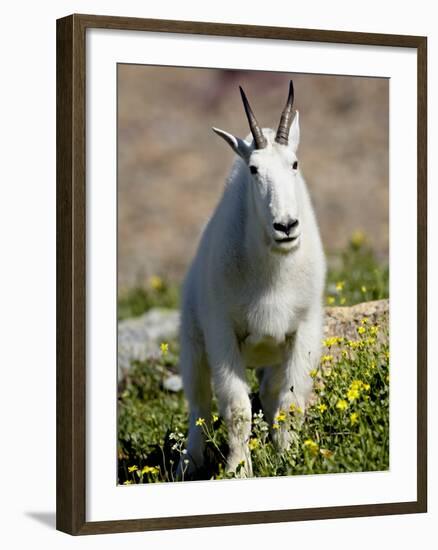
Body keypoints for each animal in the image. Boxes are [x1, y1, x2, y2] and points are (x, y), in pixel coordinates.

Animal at [178, 82, 326, 478]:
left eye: (295, 163)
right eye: (254, 169)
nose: (286, 226)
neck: (272, 272)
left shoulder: (304, 328)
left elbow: (291, 400)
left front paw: (289, 459)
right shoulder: (222, 331)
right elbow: (237, 409)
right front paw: (238, 469)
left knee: (271, 394)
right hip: (193, 341)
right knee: (198, 404)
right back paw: (188, 462)